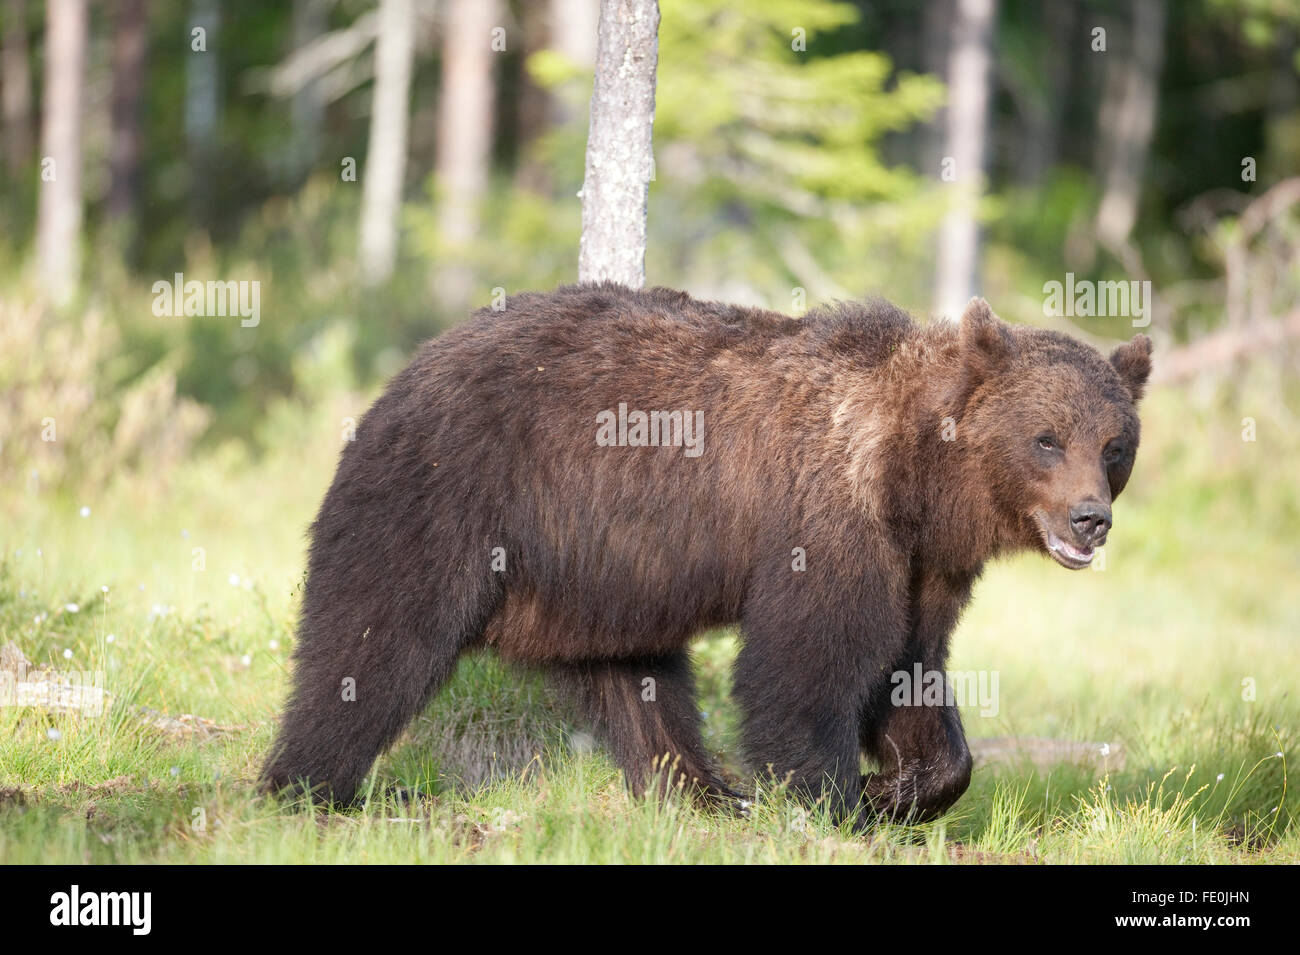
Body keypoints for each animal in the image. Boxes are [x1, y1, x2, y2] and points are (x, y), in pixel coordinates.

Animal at [261, 283, 1151, 827]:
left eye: (1114, 444)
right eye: (1046, 436)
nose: (1090, 520)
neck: (916, 477)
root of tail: (404, 370)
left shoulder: (925, 565)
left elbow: (913, 671)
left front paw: (898, 785)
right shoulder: (826, 520)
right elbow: (806, 665)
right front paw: (834, 800)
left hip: (597, 581)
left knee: (638, 686)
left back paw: (703, 792)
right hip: (445, 498)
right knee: (373, 643)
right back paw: (307, 784)